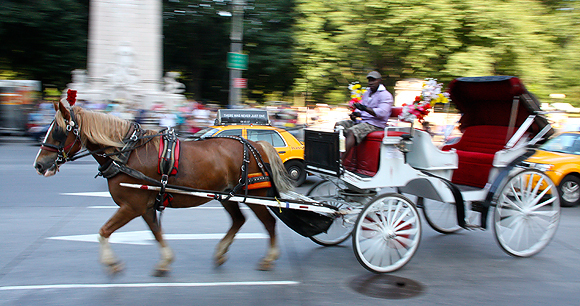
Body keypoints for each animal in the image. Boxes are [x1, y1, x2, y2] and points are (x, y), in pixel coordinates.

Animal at [34, 99, 292, 276]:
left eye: (58, 131)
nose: (39, 164)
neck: (126, 153)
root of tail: (256, 143)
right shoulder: (144, 206)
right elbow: (156, 232)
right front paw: (165, 261)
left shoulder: (131, 206)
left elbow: (104, 231)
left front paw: (111, 263)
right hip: (226, 196)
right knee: (239, 220)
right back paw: (220, 253)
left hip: (253, 197)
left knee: (269, 224)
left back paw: (269, 258)